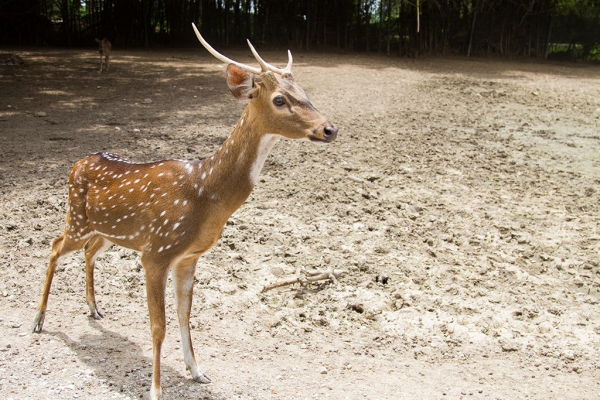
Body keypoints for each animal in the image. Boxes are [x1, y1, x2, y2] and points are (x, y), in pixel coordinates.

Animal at [34, 22, 338, 400]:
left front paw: (197, 372)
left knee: (88, 251)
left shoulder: (189, 256)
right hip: (77, 218)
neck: (203, 194)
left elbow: (185, 316)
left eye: (304, 91)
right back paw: (38, 321)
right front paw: (155, 389)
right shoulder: (156, 252)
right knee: (54, 245)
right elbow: (157, 326)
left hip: (106, 230)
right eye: (279, 99)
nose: (330, 128)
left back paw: (93, 309)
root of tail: (77, 163)